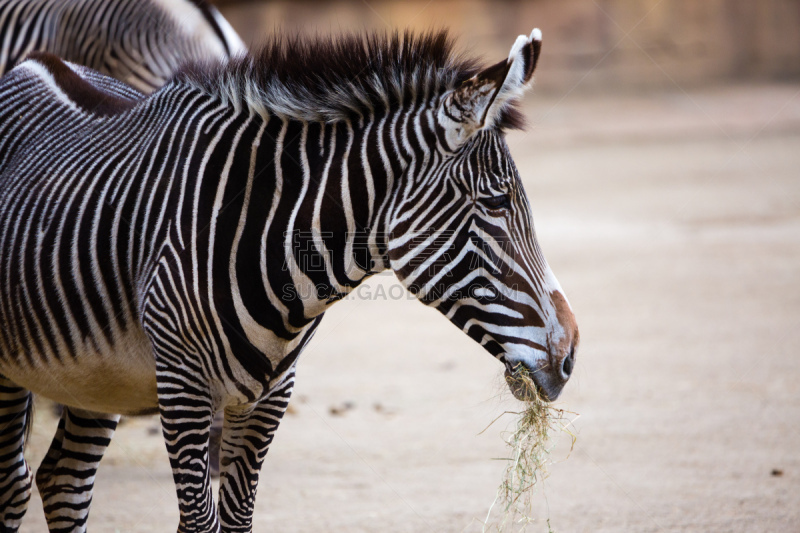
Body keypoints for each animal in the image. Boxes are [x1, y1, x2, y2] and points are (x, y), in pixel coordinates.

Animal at [0, 29, 580, 532]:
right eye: (497, 202)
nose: (571, 355)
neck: (262, 236)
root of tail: (33, 63)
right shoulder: (184, 387)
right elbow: (199, 521)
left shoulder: (272, 394)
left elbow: (237, 519)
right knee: (15, 487)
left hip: (96, 376)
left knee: (63, 480)